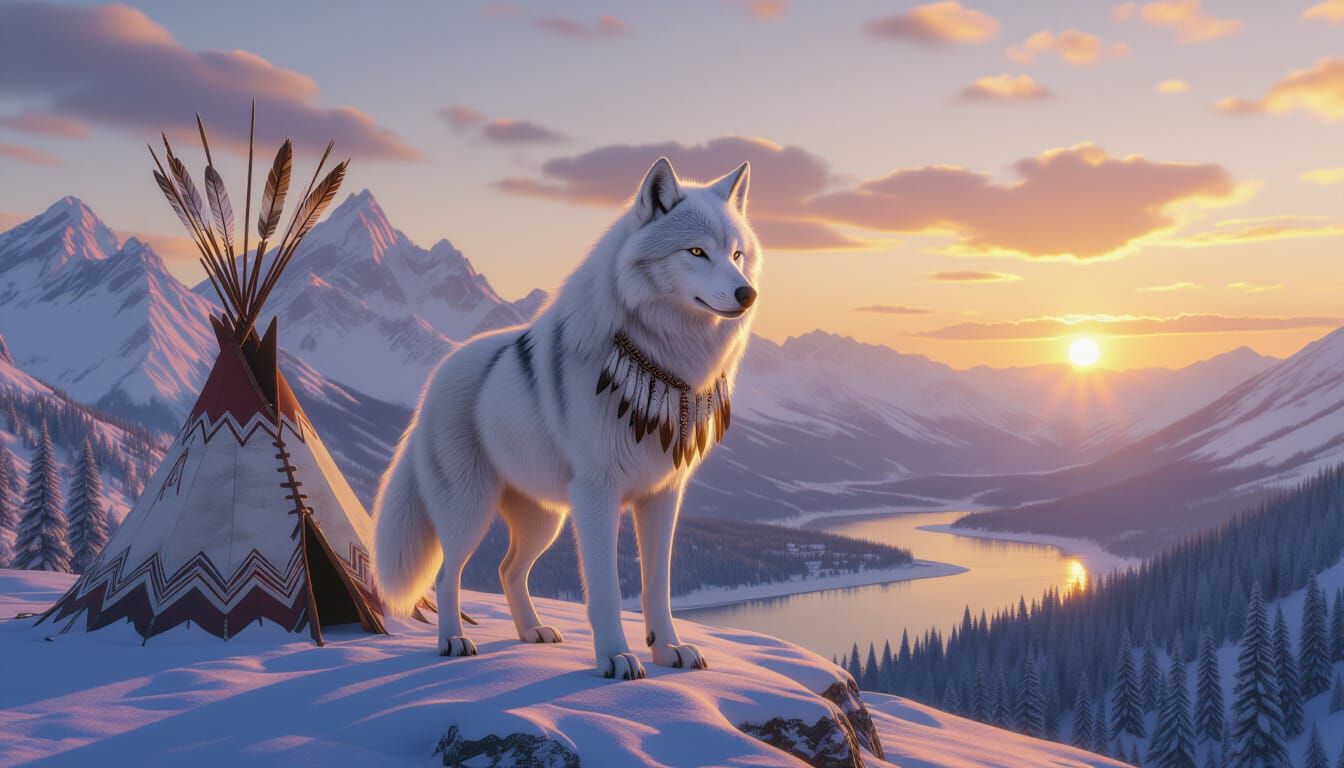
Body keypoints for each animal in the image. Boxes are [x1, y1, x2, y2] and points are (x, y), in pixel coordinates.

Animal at [372, 157, 761, 679]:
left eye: (737, 254)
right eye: (697, 252)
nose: (747, 293)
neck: (664, 357)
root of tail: (431, 383)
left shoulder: (662, 496)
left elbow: (656, 587)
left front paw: (668, 650)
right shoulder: (597, 495)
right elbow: (607, 592)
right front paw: (616, 657)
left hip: (545, 521)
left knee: (507, 569)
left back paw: (532, 632)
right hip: (470, 512)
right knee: (447, 573)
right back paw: (453, 641)